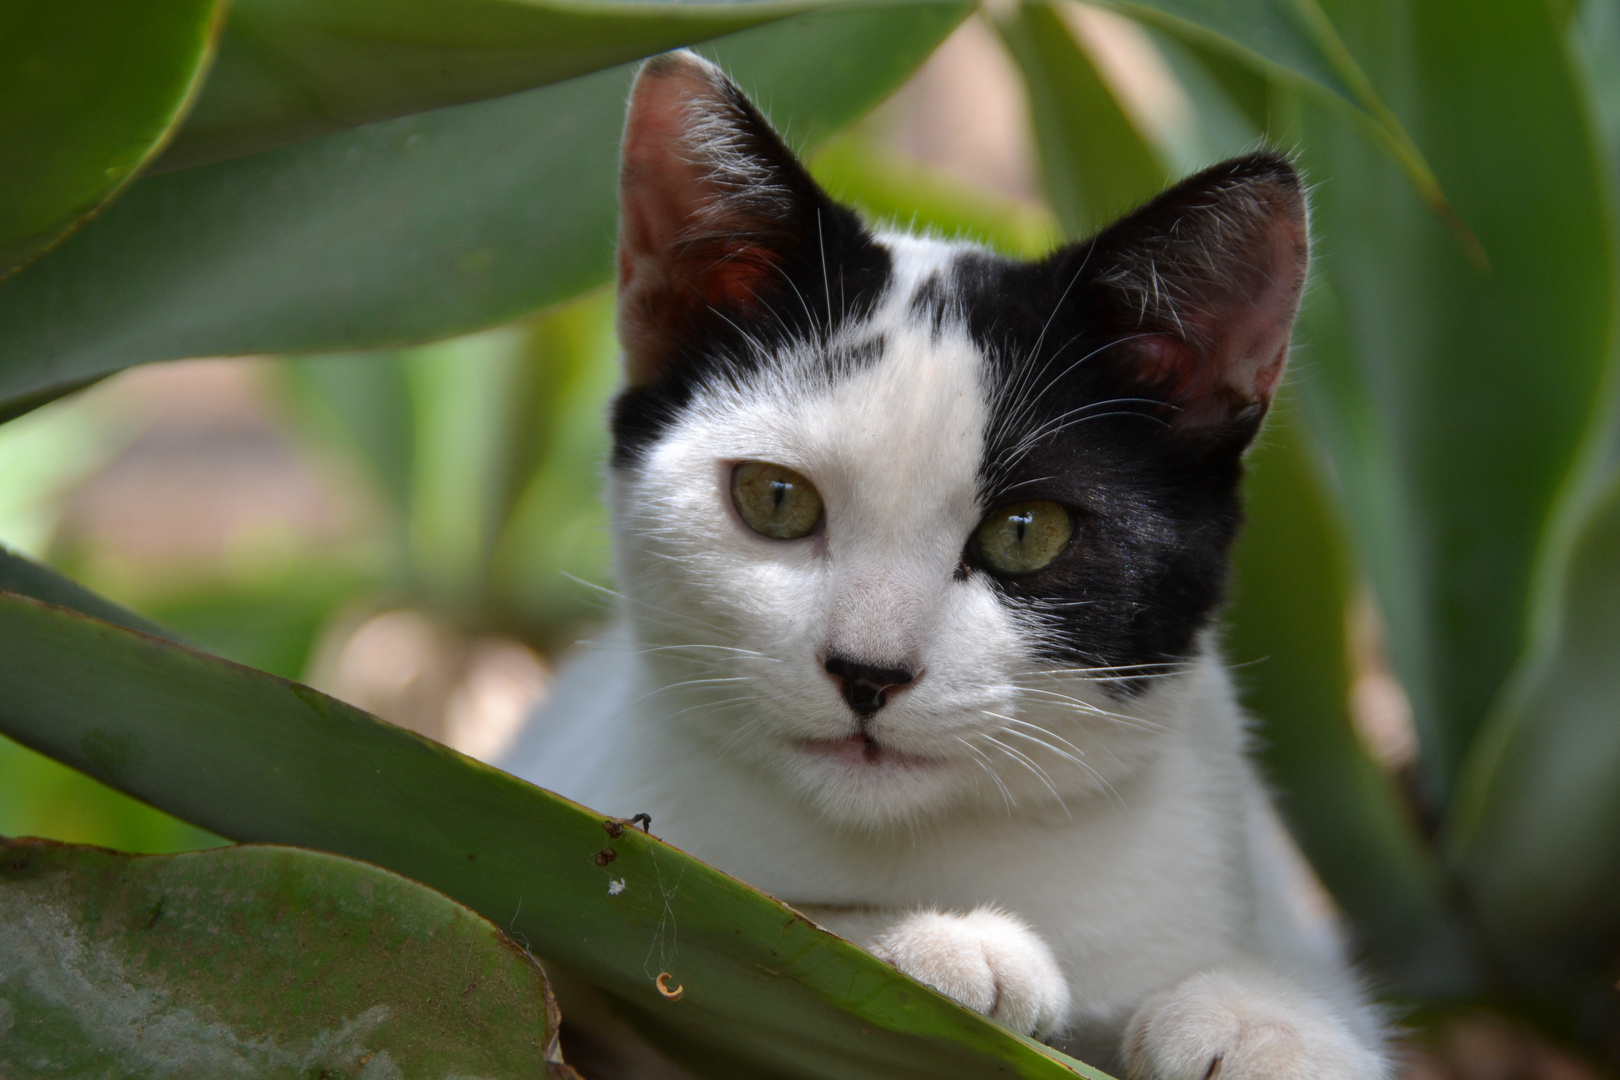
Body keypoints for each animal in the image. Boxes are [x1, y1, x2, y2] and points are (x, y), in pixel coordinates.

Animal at [498, 50, 1386, 1080]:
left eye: (1027, 531)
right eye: (775, 498)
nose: (868, 672)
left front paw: (1261, 1025)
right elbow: (742, 922)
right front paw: (933, 942)